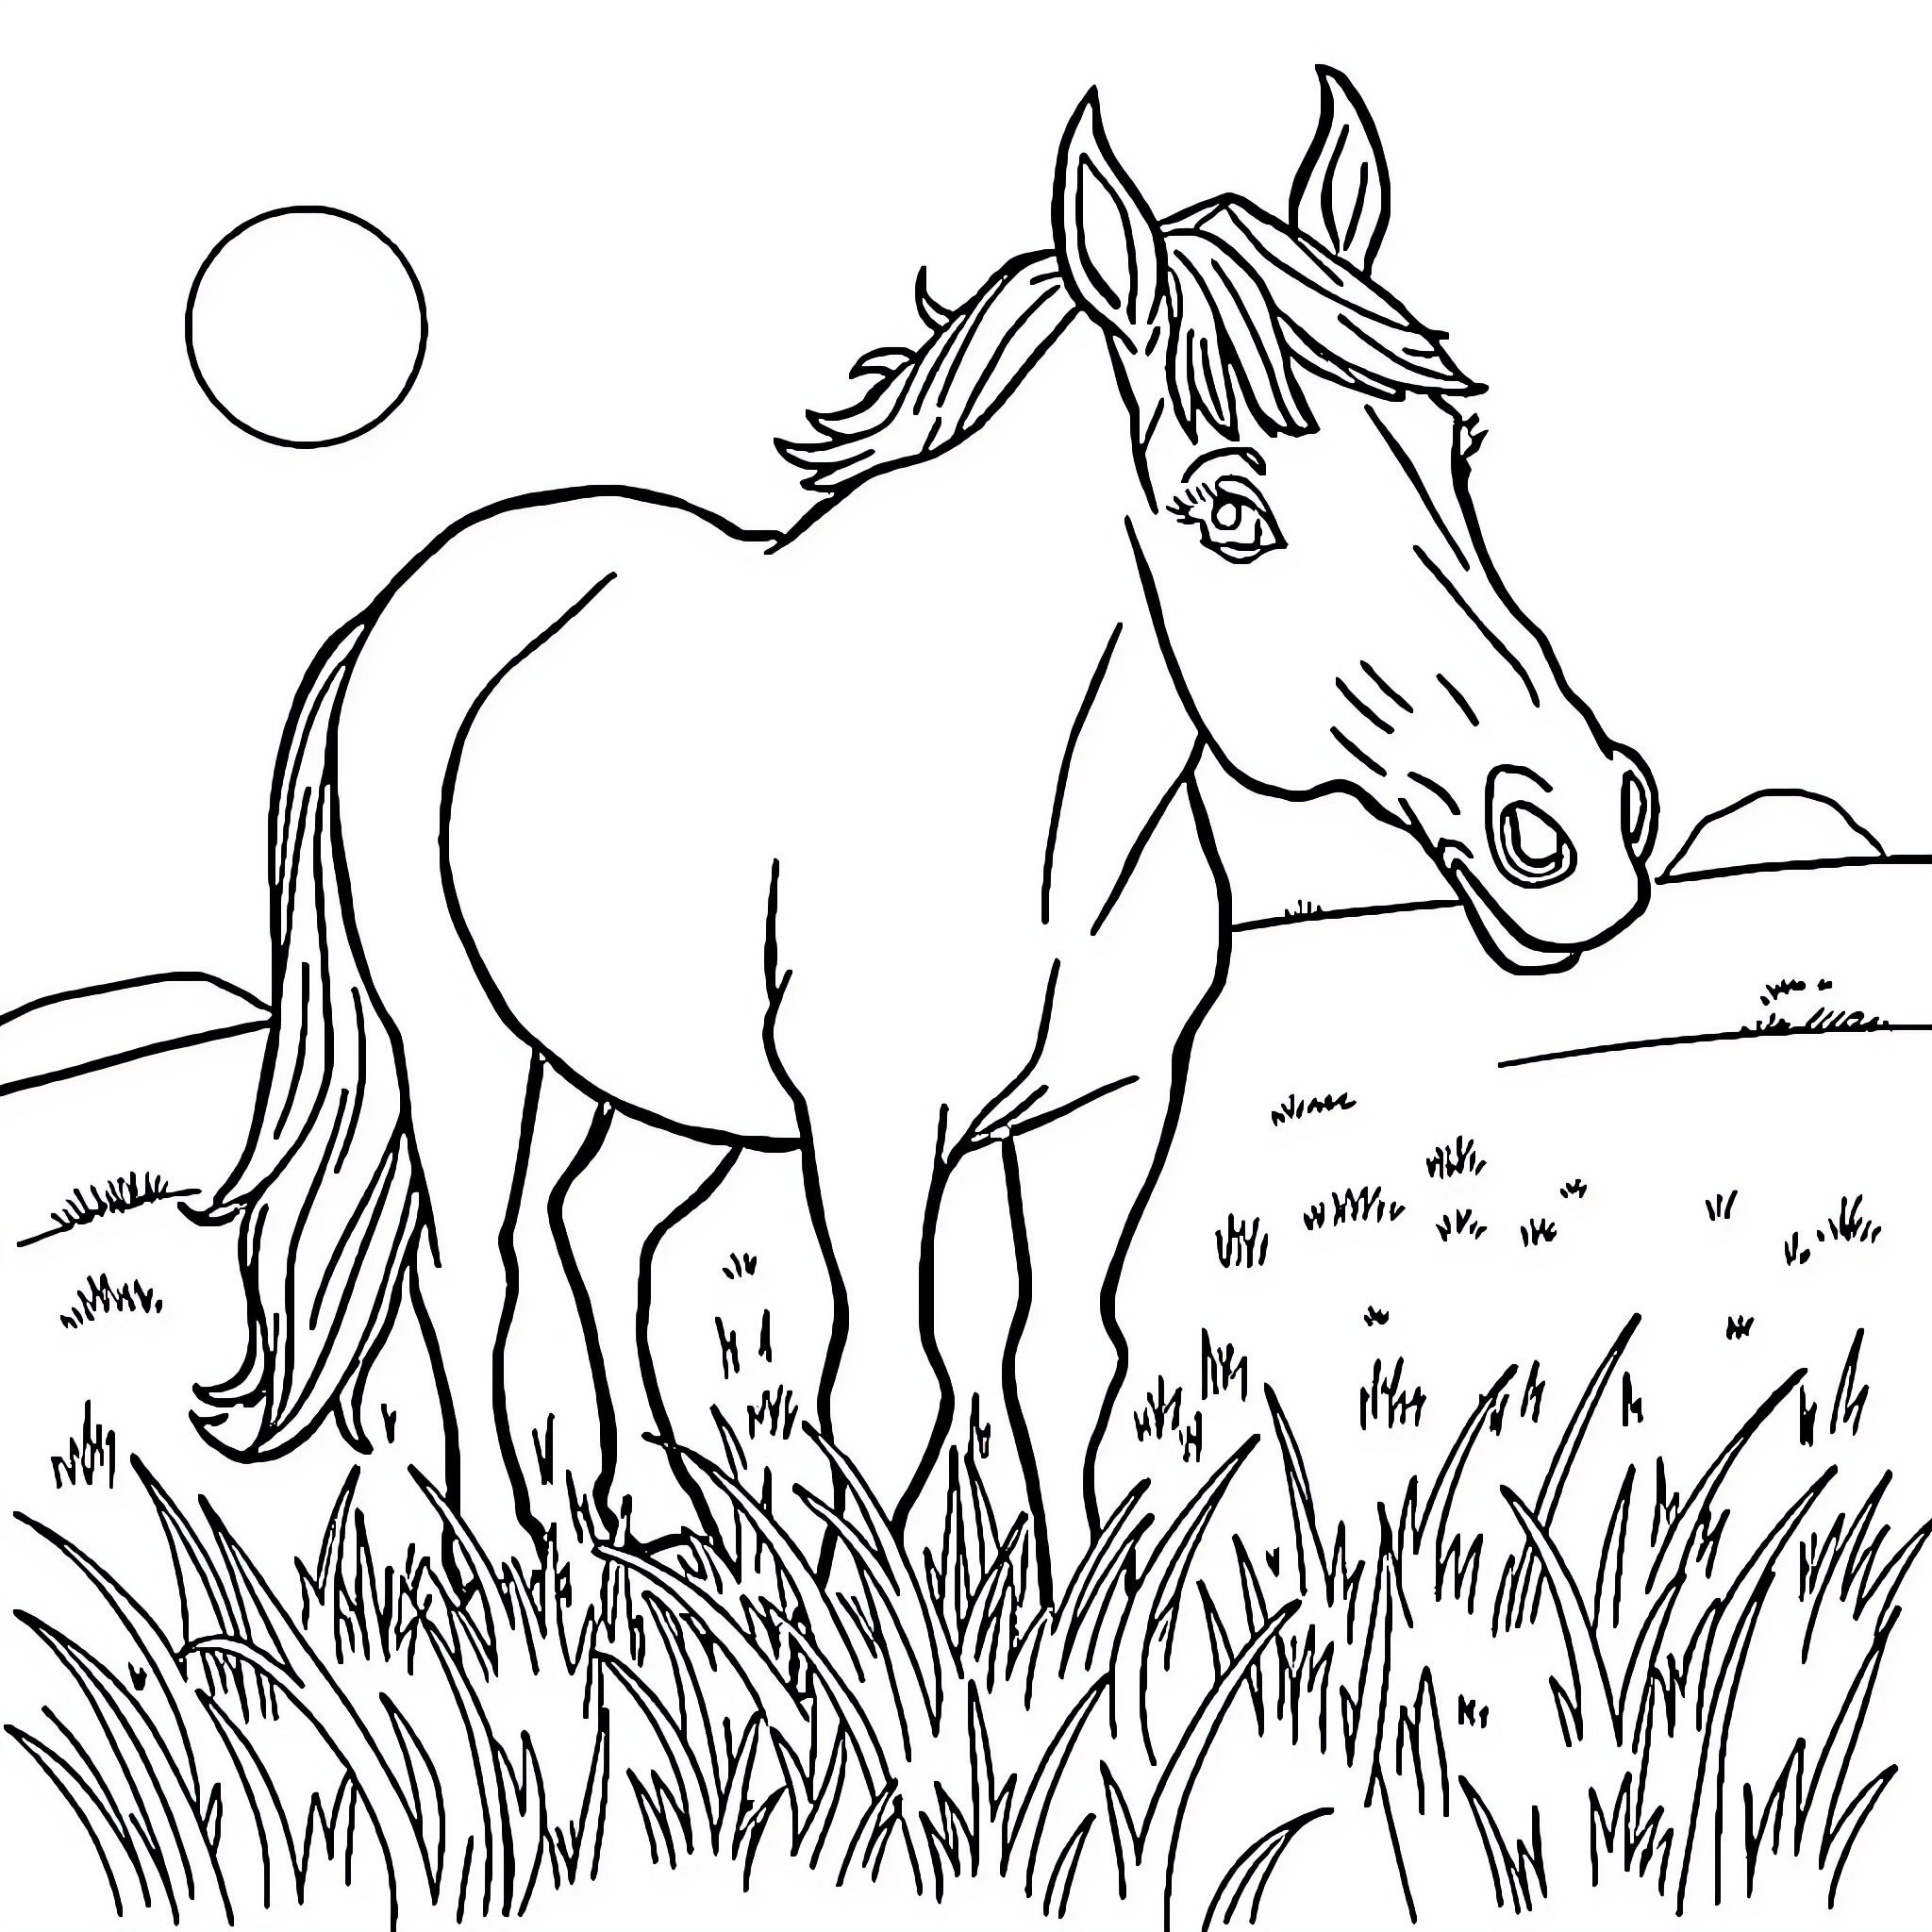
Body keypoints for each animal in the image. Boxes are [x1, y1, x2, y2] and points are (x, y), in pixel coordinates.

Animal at [195, 71, 1658, 1600]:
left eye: (1456, 450)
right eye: (1230, 508)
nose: (1569, 829)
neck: (1044, 828)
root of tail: (409, 599)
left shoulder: (1109, 1109)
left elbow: (1064, 1362)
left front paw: (1075, 1622)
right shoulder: (872, 1131)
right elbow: (888, 1392)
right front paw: (872, 1641)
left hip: (667, 1076)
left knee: (601, 1235)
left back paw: (656, 1521)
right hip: (460, 1043)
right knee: (469, 1268)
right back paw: (502, 1563)